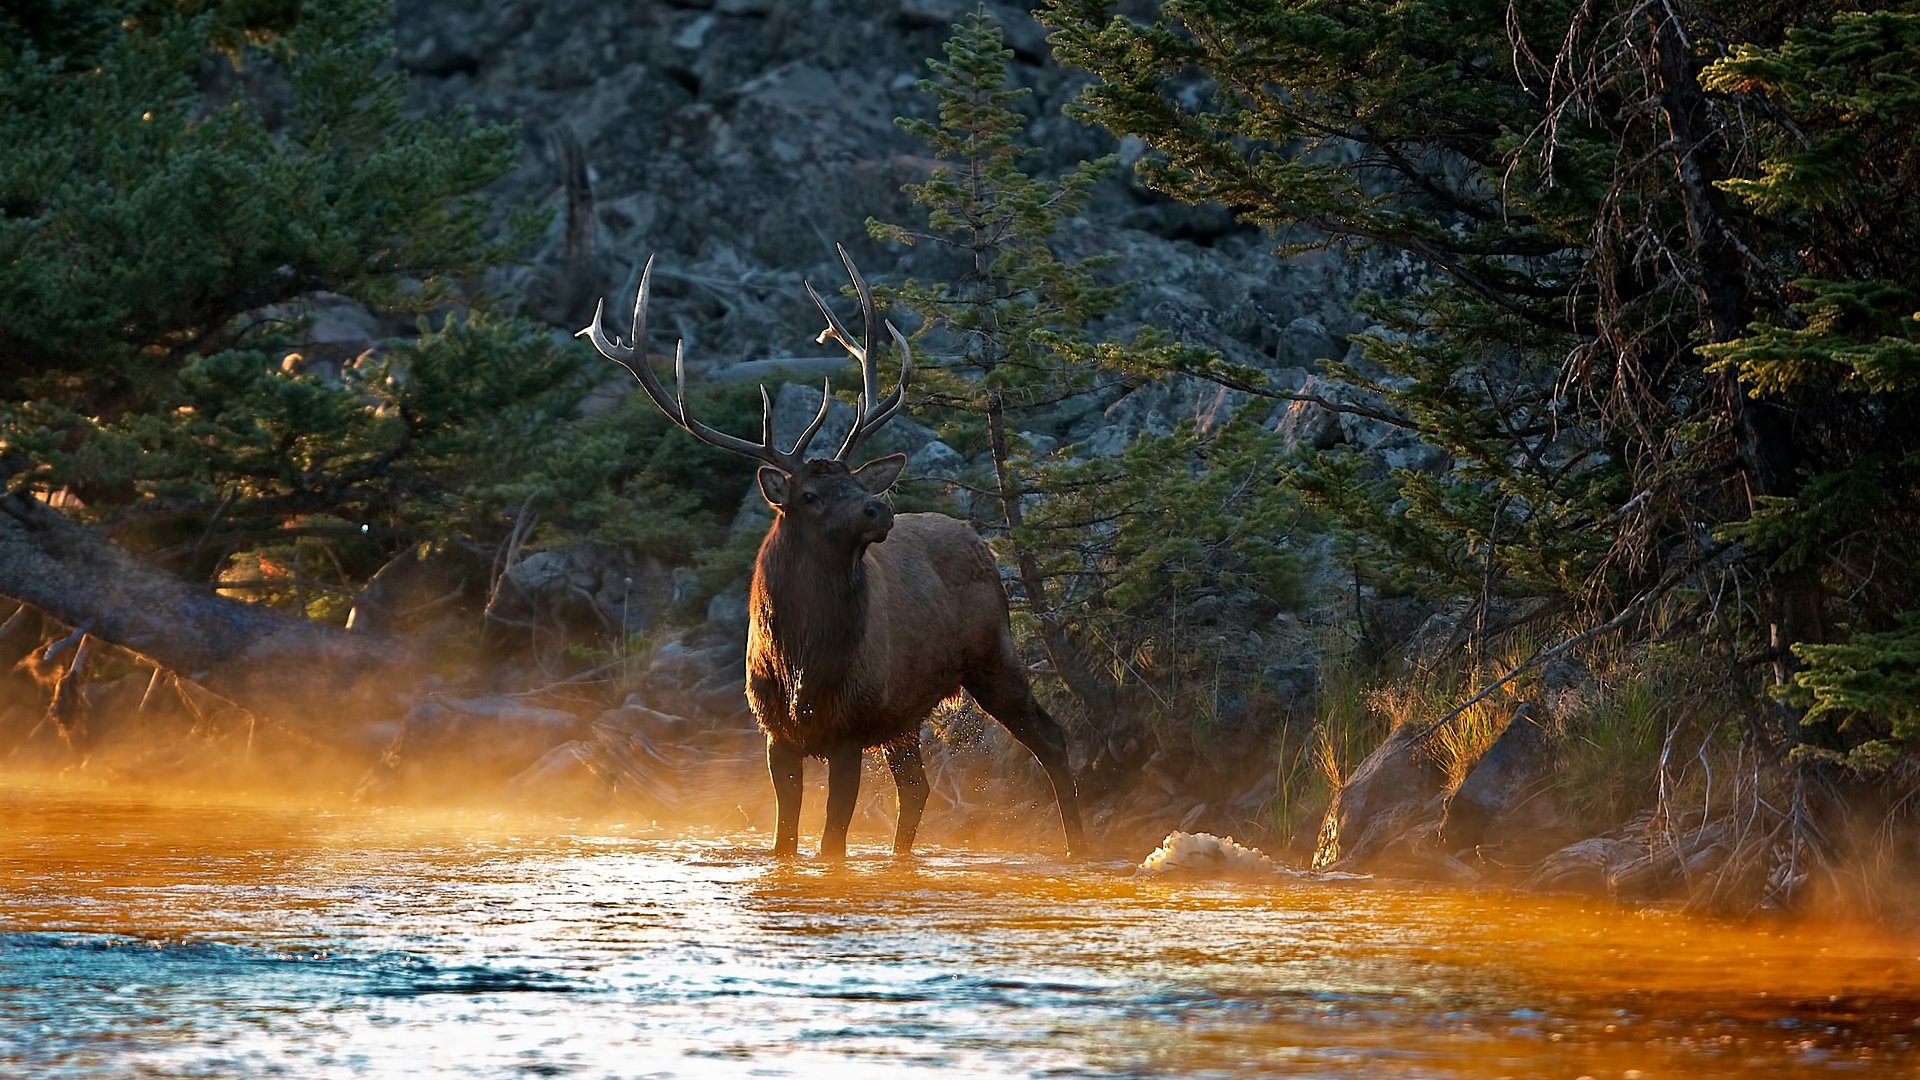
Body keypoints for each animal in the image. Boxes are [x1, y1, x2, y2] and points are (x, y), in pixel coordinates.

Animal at [576, 245, 1090, 857]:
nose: (878, 509)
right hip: (904, 711)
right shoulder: (776, 732)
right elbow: (785, 841)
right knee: (916, 788)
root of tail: (979, 541)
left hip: (993, 652)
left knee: (1052, 737)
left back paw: (1081, 847)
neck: (802, 663)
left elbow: (832, 843)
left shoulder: (850, 727)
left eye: (854, 481)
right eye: (811, 495)